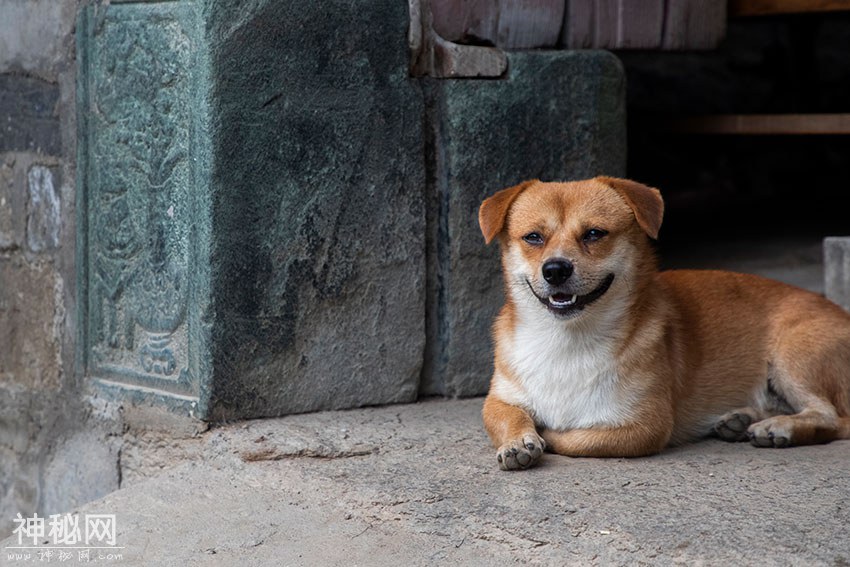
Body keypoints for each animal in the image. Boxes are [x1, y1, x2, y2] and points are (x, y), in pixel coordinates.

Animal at [476, 178, 848, 470]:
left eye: (594, 234)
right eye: (533, 237)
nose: (555, 269)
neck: (567, 338)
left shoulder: (644, 426)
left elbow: (573, 439)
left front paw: (547, 434)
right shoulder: (500, 398)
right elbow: (507, 416)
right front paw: (517, 441)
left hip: (794, 356)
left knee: (833, 418)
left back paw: (779, 427)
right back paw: (742, 419)